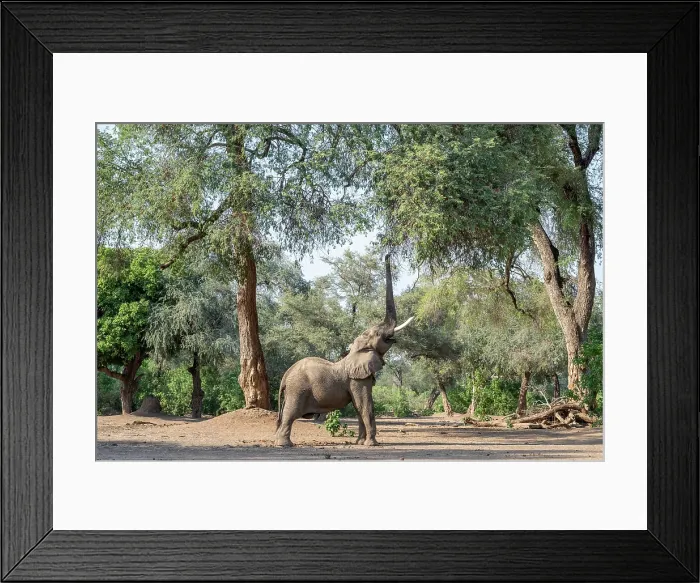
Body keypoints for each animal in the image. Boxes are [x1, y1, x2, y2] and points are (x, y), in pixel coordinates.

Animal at [275, 255, 413, 447]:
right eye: (377, 334)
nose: (387, 255)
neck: (355, 351)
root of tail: (285, 376)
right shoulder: (357, 379)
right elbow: (365, 405)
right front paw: (372, 444)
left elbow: (358, 406)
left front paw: (360, 443)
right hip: (297, 389)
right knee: (290, 413)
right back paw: (285, 444)